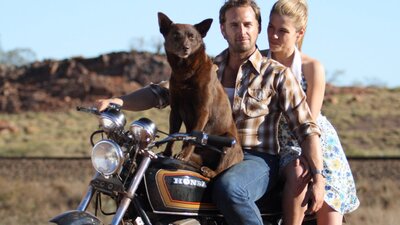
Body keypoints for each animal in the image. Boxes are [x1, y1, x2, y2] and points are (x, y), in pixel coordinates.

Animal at [158, 12, 242, 178]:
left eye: (192, 37)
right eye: (176, 36)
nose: (185, 48)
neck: (185, 72)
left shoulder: (202, 111)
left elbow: (193, 136)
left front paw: (183, 156)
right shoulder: (175, 110)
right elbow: (172, 134)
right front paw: (167, 153)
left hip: (229, 142)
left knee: (219, 171)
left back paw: (208, 170)